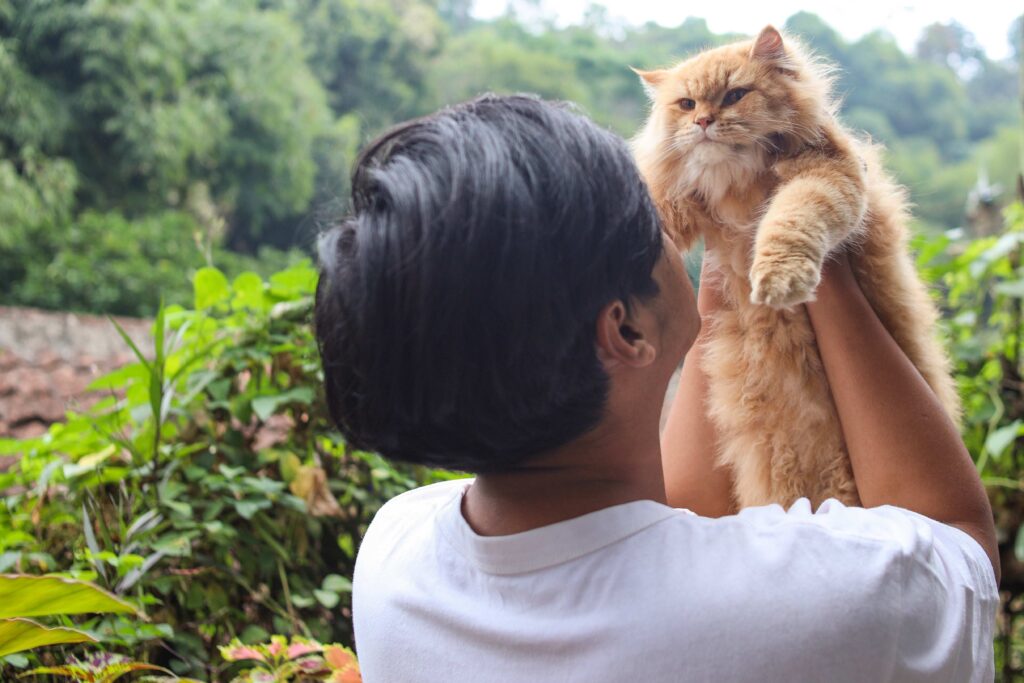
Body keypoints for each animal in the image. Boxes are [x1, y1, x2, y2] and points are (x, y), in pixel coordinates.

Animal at [630, 25, 958, 507]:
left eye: (734, 96)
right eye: (687, 105)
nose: (703, 123)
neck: (735, 180)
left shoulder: (825, 175)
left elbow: (790, 221)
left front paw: (777, 281)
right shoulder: (674, 204)